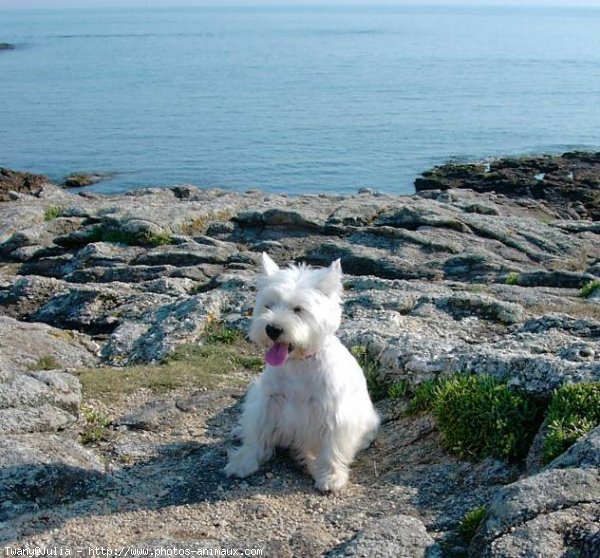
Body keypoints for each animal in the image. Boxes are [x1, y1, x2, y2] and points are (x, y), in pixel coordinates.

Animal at [225, 254, 380, 494]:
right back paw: (240, 430)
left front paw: (331, 476)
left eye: (298, 309)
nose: (272, 329)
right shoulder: (269, 400)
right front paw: (244, 461)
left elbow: (332, 447)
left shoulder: (333, 413)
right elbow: (257, 432)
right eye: (268, 305)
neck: (298, 363)